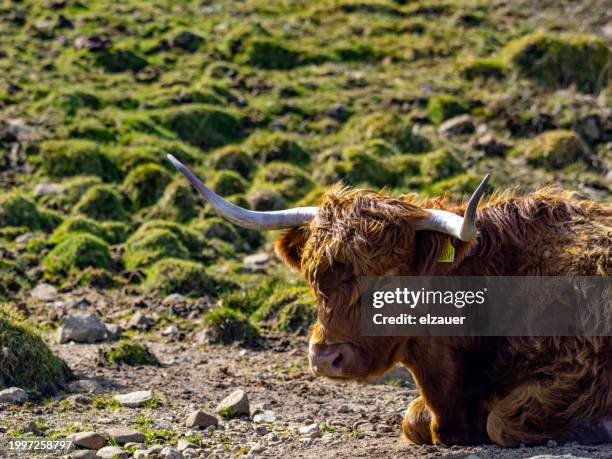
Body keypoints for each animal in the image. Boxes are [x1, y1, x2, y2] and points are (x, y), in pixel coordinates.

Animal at [167, 155, 612, 450]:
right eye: (313, 276)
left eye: (388, 276)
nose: (326, 359)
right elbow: (412, 421)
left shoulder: (581, 370)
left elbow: (501, 422)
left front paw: (593, 427)